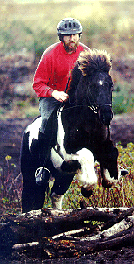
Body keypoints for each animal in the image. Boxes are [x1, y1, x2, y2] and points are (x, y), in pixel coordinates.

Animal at [20, 49, 125, 212]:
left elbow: (112, 153)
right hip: (30, 172)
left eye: (111, 85)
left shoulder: (104, 145)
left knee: (56, 195)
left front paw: (109, 178)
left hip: (63, 175)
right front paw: (87, 187)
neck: (87, 122)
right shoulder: (68, 151)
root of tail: (27, 130)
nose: (107, 116)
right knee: (30, 198)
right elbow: (88, 156)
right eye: (92, 85)